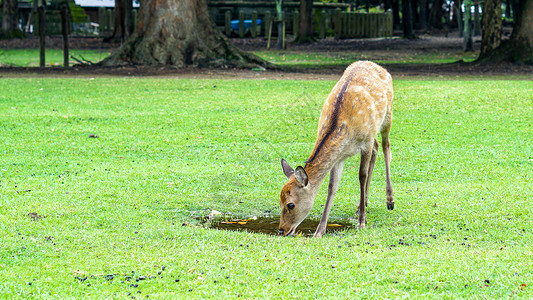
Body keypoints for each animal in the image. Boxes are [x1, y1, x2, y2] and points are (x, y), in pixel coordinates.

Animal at [278, 60, 394, 237]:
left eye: (291, 204)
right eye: (279, 201)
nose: (281, 230)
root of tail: (377, 65)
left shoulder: (365, 141)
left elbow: (362, 175)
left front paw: (361, 222)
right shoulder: (339, 155)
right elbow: (332, 186)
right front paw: (319, 231)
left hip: (387, 115)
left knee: (386, 147)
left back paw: (389, 200)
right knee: (376, 147)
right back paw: (362, 203)